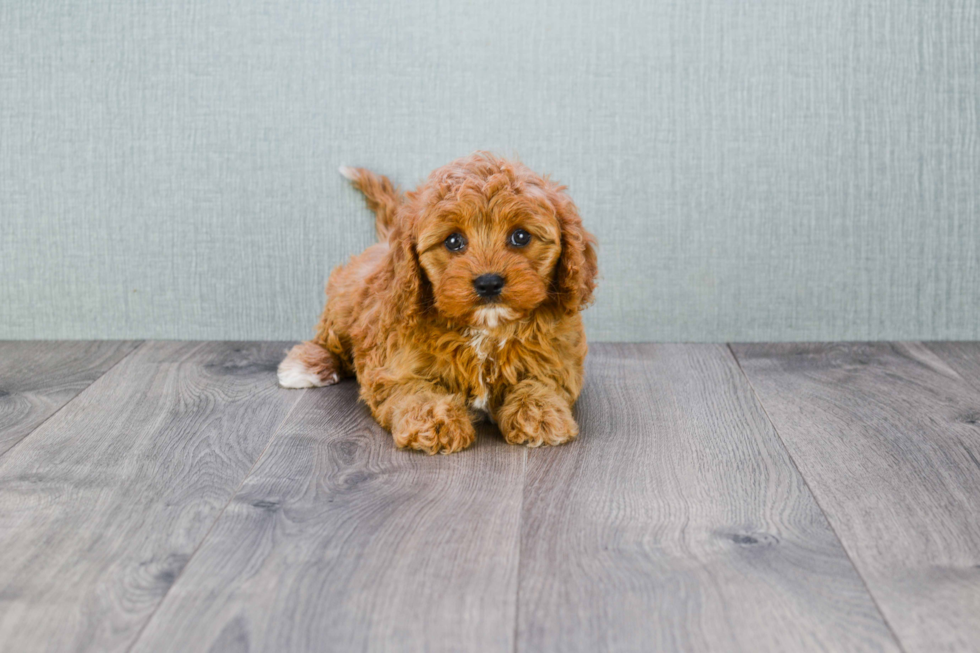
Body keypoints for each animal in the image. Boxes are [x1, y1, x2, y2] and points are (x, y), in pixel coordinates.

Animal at [278, 152, 596, 454]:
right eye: (453, 241)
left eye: (521, 236)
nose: (489, 282)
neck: (487, 329)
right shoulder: (394, 365)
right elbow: (416, 390)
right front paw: (435, 421)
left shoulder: (557, 358)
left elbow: (541, 383)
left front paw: (540, 414)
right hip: (344, 303)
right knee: (328, 339)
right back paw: (306, 365)